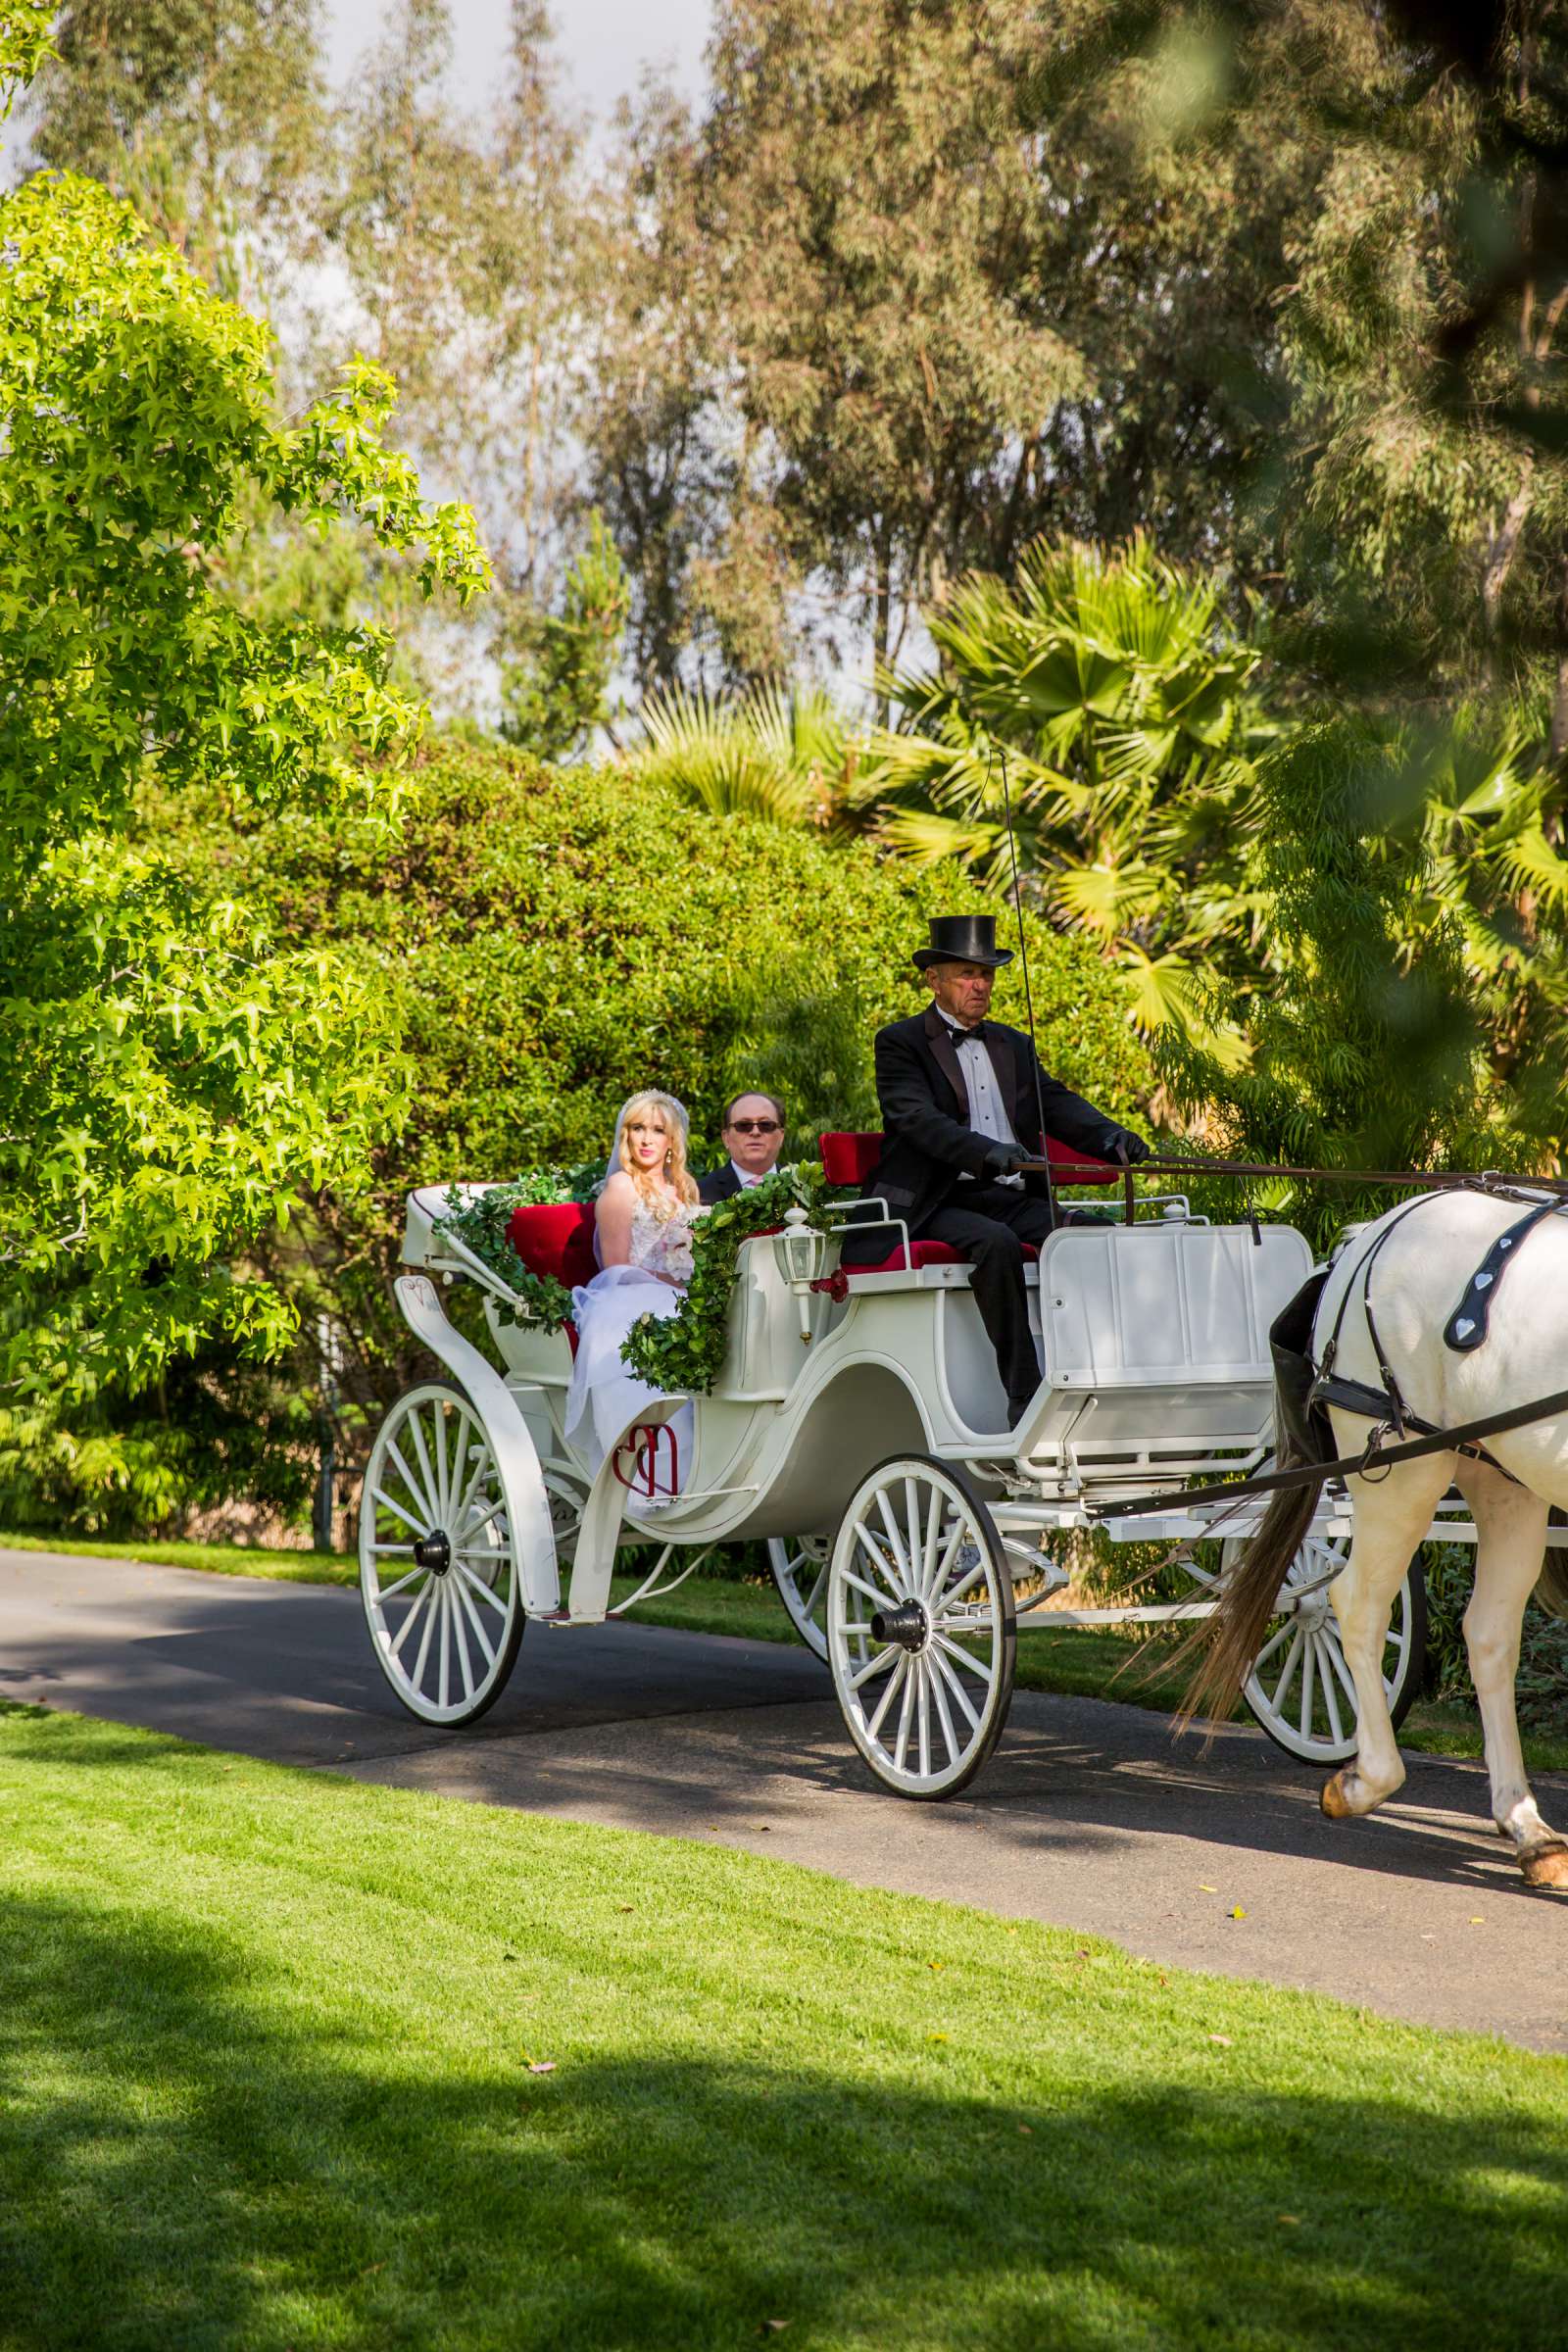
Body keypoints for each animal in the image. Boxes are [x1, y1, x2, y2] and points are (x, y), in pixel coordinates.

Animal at [1189, 1185, 1568, 1882]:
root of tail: (1372, 1231)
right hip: (1403, 1471)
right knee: (1354, 1605)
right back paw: (1367, 1780)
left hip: (1506, 1479)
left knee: (1489, 1635)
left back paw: (1525, 1825)